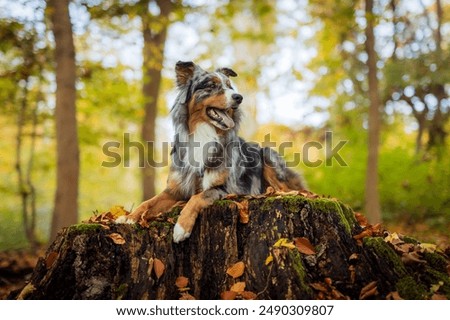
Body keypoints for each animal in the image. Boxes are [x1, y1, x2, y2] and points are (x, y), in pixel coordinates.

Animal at [117, 60, 306, 242]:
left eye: (230, 86)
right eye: (211, 86)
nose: (239, 97)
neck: (203, 133)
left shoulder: (225, 188)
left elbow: (197, 197)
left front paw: (181, 228)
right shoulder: (175, 189)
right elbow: (148, 202)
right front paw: (129, 218)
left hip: (268, 156)